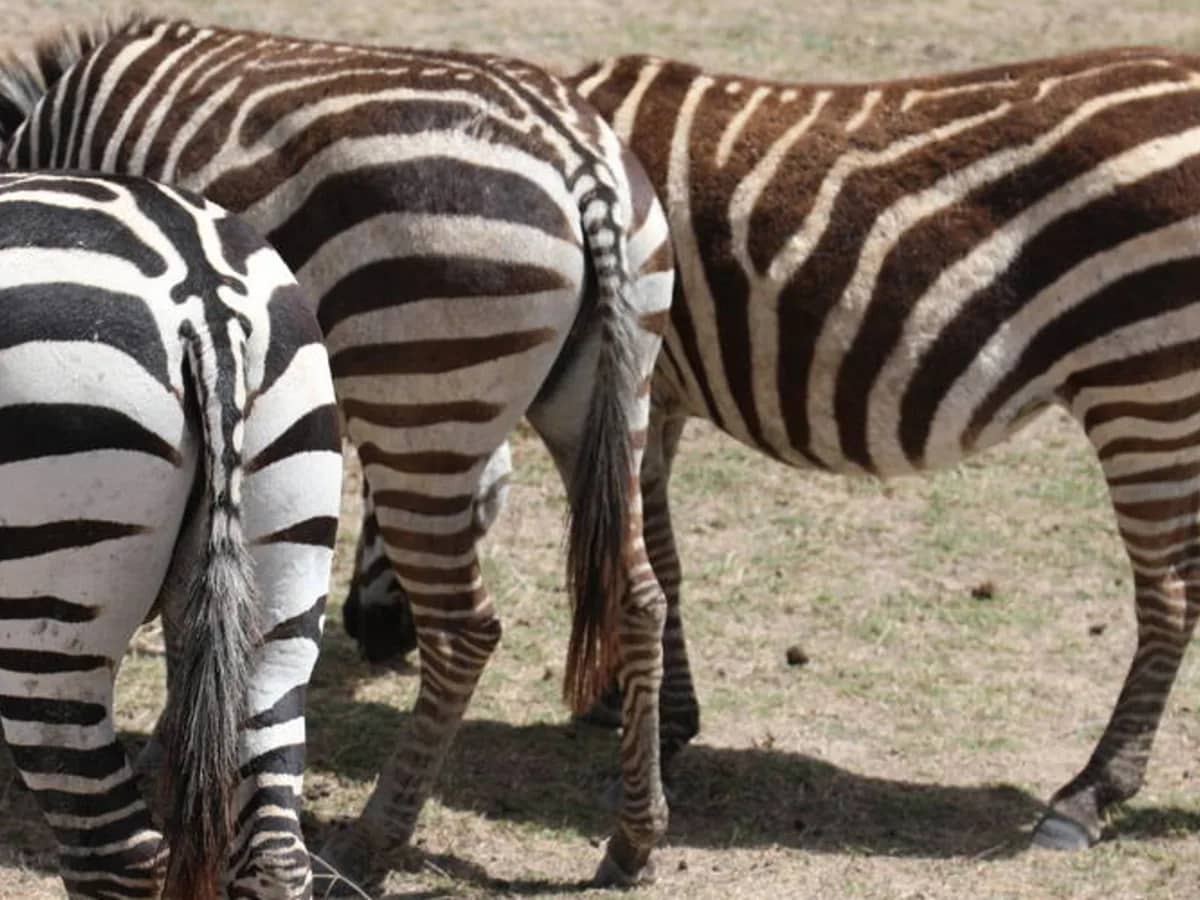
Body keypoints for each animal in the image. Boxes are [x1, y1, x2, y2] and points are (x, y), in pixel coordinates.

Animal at [348, 46, 1200, 854]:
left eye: (375, 499)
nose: (366, 635)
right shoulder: (659, 401)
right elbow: (656, 558)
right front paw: (644, 709)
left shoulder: (642, 388)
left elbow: (651, 558)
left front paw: (655, 726)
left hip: (1144, 382)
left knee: (1170, 599)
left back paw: (1087, 796)